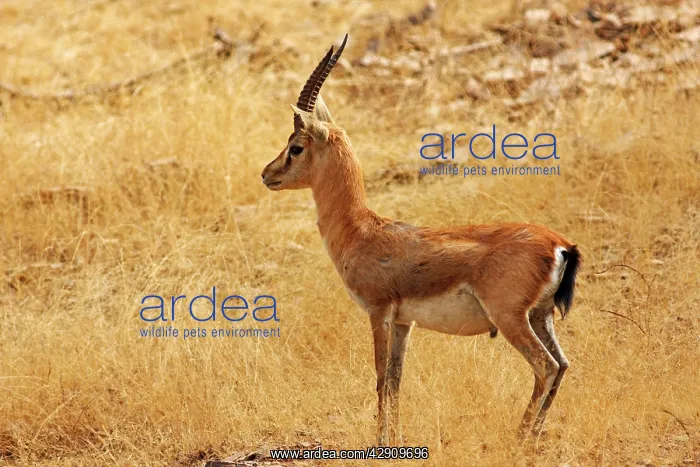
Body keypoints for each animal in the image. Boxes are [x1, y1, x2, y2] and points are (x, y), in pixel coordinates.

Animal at [261, 34, 581, 446]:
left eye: (296, 147)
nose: (267, 174)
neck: (362, 231)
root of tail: (560, 245)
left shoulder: (378, 311)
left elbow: (381, 379)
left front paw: (381, 443)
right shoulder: (404, 322)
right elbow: (396, 380)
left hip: (511, 318)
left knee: (545, 366)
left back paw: (518, 440)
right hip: (541, 315)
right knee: (562, 365)